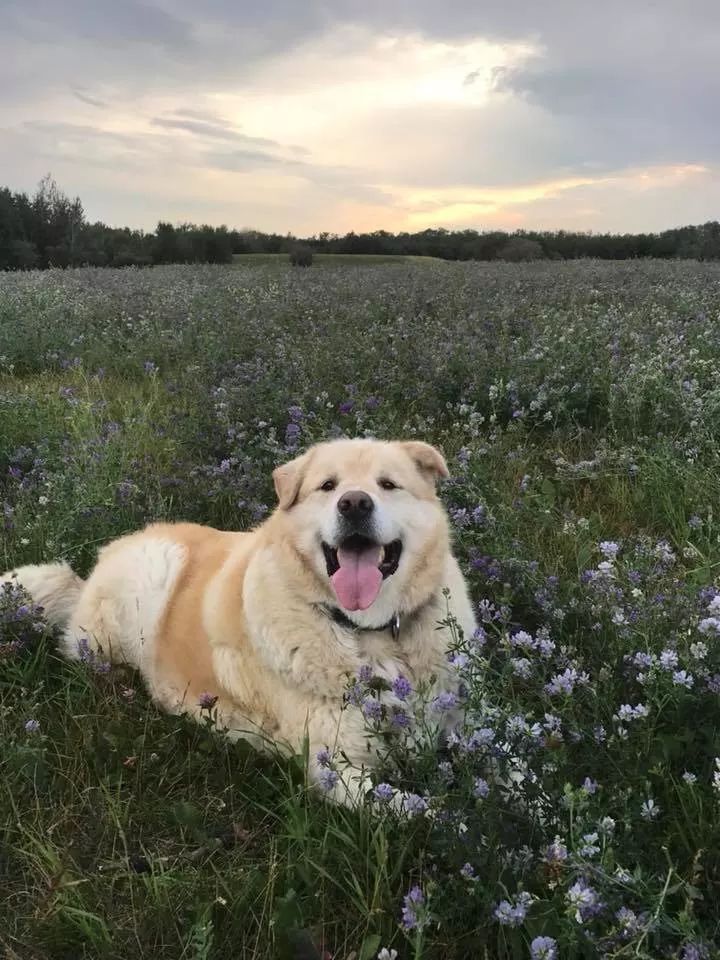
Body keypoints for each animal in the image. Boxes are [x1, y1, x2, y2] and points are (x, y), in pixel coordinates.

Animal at [7, 438, 478, 808]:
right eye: (328, 486)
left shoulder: (459, 719)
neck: (373, 632)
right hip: (153, 571)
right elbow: (417, 814)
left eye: (388, 484)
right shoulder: (334, 766)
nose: (355, 503)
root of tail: (90, 573)